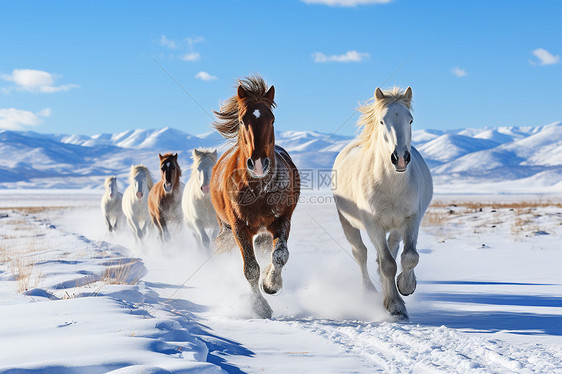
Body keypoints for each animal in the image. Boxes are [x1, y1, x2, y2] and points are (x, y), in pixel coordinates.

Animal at [210, 76, 300, 318]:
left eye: (272, 119)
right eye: (242, 121)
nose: (258, 163)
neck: (258, 189)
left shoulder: (282, 220)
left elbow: (280, 255)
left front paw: (271, 284)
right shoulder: (239, 227)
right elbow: (250, 268)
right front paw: (260, 307)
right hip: (227, 229)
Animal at [330, 86, 430, 320]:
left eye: (410, 120)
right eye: (382, 121)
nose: (400, 158)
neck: (391, 183)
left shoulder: (411, 219)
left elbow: (410, 257)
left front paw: (406, 286)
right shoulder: (373, 225)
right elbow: (387, 264)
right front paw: (395, 306)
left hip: (395, 227)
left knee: (393, 249)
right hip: (348, 223)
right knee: (361, 254)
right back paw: (370, 292)